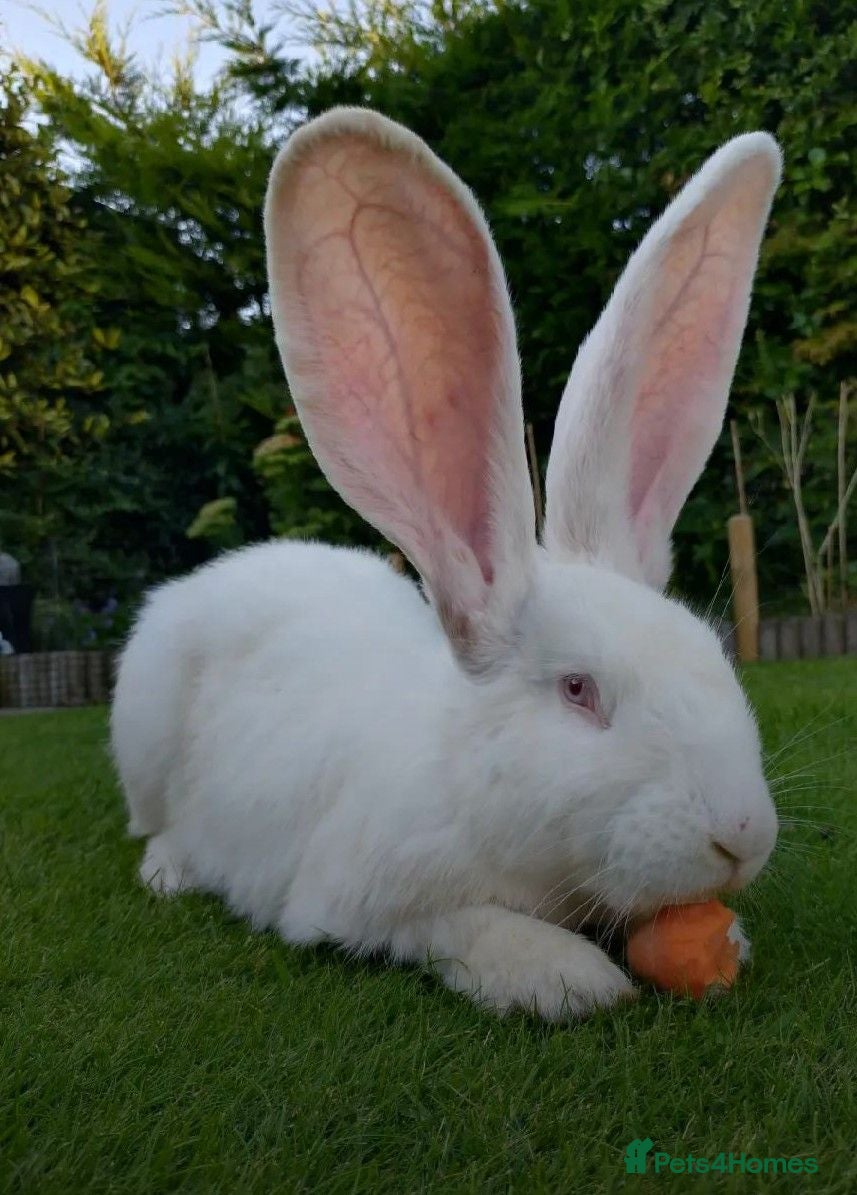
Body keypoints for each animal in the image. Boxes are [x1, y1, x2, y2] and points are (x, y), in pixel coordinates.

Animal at [111, 108, 782, 1019]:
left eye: (716, 654)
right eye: (578, 690)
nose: (743, 835)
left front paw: (727, 940)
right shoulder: (359, 898)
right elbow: (459, 926)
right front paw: (561, 974)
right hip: (141, 731)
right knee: (152, 823)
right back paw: (171, 869)